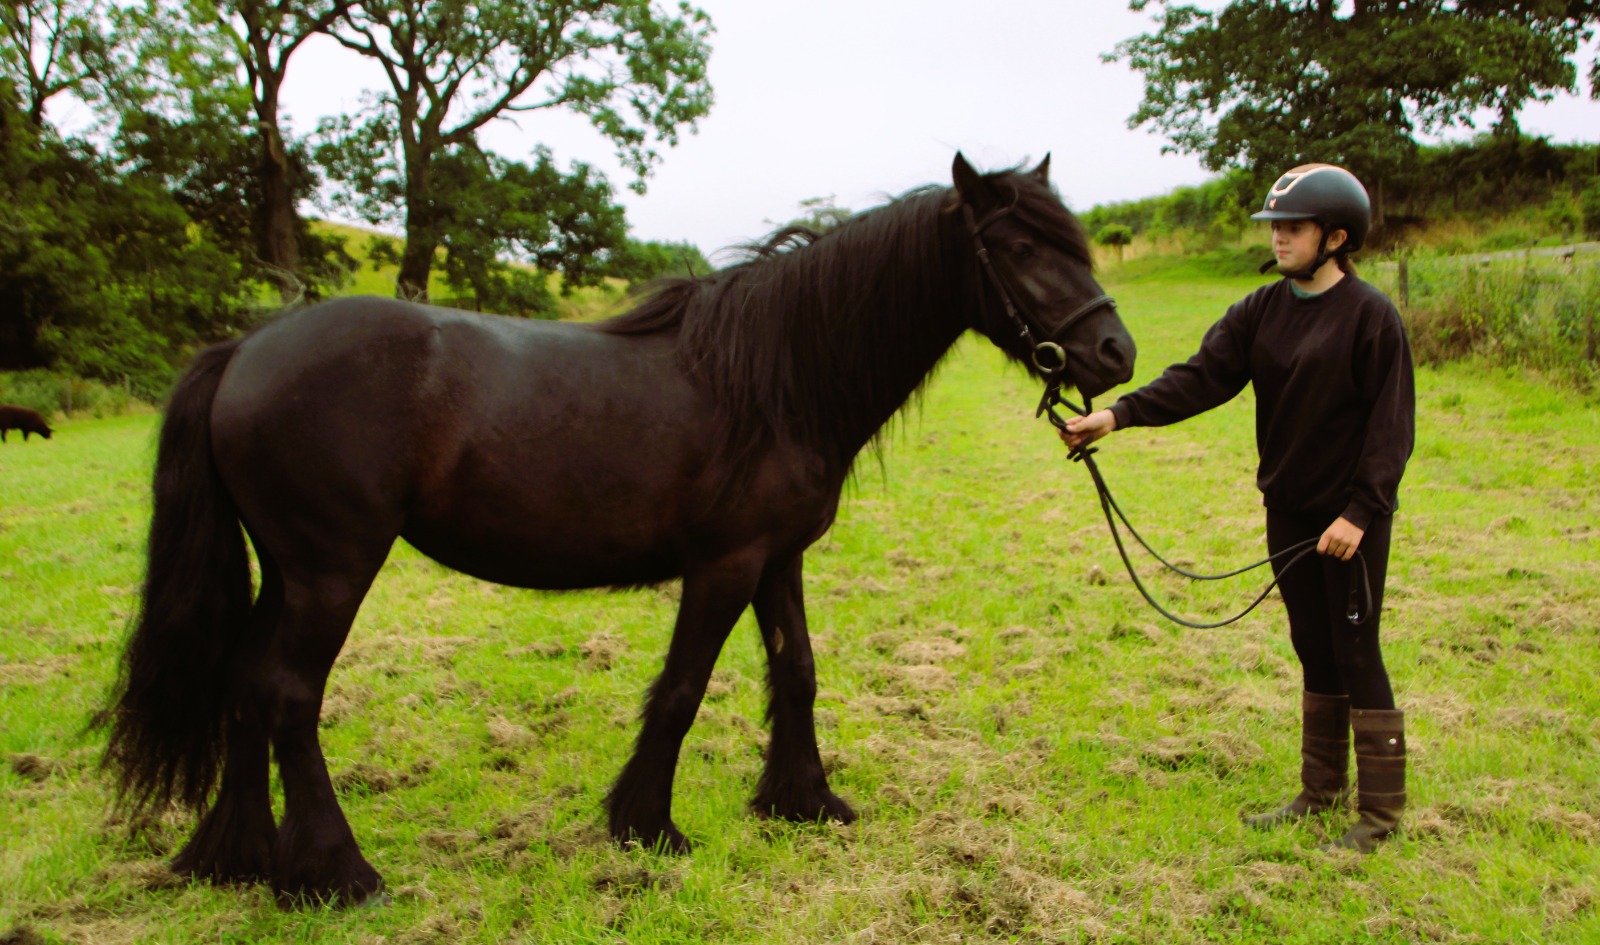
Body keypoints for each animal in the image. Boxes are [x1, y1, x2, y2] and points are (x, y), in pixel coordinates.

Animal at [101, 153, 1136, 907]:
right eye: (1019, 244)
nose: (1115, 352)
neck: (776, 377)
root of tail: (247, 348)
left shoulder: (778, 560)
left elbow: (797, 671)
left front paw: (803, 802)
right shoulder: (724, 565)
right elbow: (681, 689)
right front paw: (647, 825)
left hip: (285, 570)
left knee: (243, 681)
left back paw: (236, 858)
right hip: (330, 570)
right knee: (285, 692)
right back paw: (336, 873)